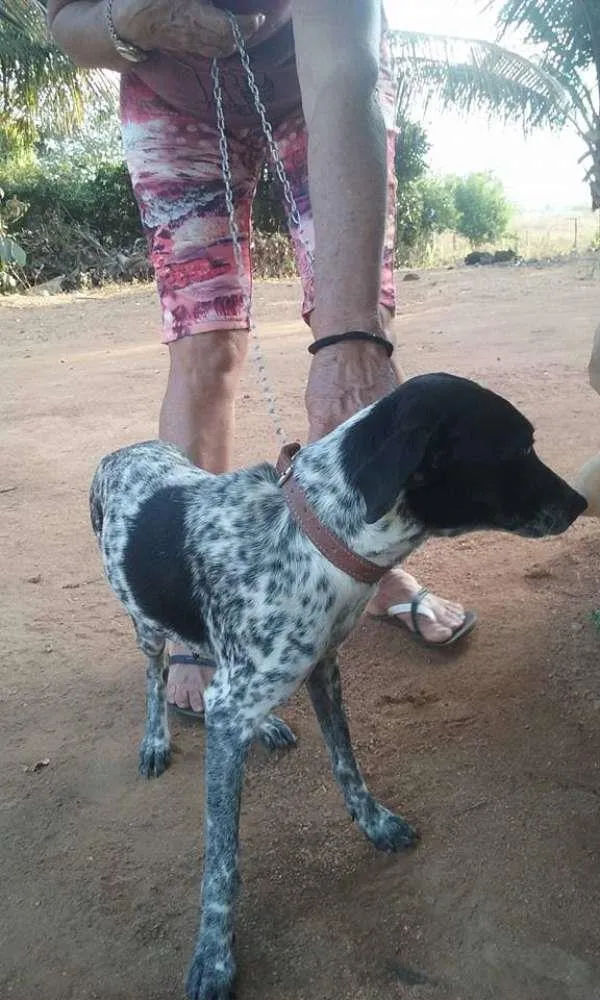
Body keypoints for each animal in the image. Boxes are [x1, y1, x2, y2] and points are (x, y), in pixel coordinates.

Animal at [89, 372, 584, 996]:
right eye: (518, 449)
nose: (582, 503)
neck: (313, 534)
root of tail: (123, 450)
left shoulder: (323, 667)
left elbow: (346, 763)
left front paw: (374, 823)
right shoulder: (238, 703)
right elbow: (222, 859)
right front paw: (214, 954)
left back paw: (265, 724)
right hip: (146, 625)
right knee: (157, 679)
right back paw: (157, 738)